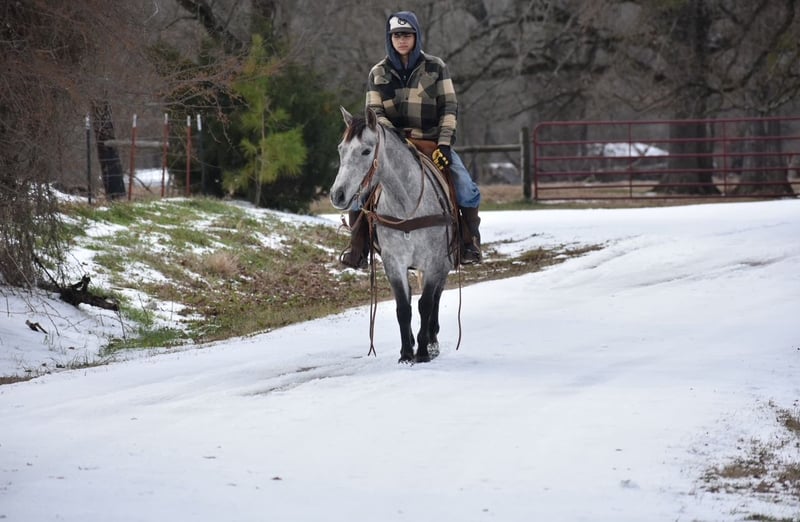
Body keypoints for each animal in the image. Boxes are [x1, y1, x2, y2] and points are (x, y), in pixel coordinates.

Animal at [330, 107, 456, 363]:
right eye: (341, 149)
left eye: (366, 150)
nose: (337, 195)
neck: (408, 206)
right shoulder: (394, 262)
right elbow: (403, 307)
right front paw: (406, 353)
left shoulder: (435, 261)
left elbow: (426, 304)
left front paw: (423, 352)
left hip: (443, 263)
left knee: (436, 297)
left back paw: (432, 340)